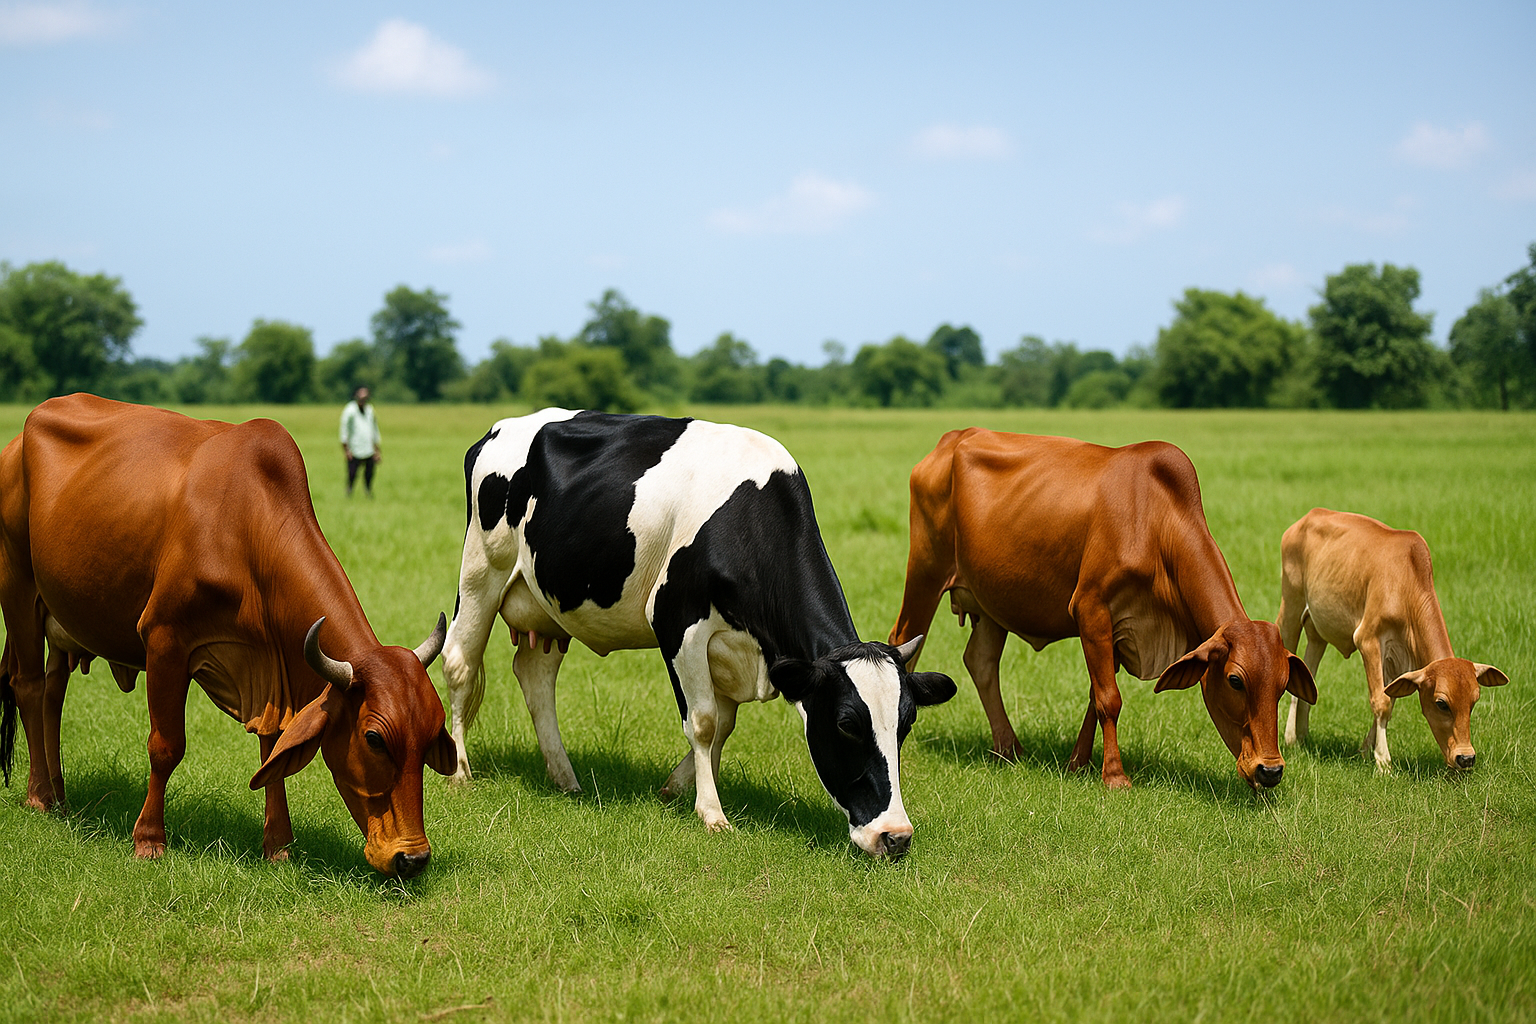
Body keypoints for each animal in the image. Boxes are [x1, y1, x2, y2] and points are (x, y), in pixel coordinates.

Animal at [0, 395, 456, 877]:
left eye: (432, 733)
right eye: (373, 739)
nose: (413, 858)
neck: (246, 527)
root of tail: (18, 437)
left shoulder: (272, 674)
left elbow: (272, 753)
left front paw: (278, 846)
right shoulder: (164, 640)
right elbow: (166, 746)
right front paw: (149, 840)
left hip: (60, 619)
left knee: (53, 694)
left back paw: (59, 794)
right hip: (17, 586)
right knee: (29, 687)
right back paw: (39, 797)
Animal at [441, 409, 957, 858]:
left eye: (906, 723)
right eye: (847, 724)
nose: (895, 836)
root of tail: (501, 427)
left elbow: (723, 725)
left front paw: (677, 787)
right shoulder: (678, 623)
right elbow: (705, 722)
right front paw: (711, 813)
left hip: (547, 602)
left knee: (535, 675)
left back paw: (565, 778)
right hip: (481, 569)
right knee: (460, 661)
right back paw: (461, 772)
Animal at [888, 429, 1315, 789]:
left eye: (1282, 686)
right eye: (1235, 680)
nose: (1271, 770)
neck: (1155, 521)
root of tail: (952, 438)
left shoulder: (1119, 629)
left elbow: (1096, 695)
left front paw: (1078, 763)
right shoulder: (1091, 609)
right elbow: (1109, 697)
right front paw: (1114, 776)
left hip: (993, 601)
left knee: (980, 661)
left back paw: (1009, 749)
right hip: (925, 572)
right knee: (903, 642)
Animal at [1277, 508, 1508, 771]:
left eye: (1474, 701)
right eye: (1441, 703)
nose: (1466, 758)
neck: (1405, 583)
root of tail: (1310, 515)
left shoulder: (1399, 657)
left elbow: (1391, 697)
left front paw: (1366, 751)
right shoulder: (1368, 640)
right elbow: (1381, 701)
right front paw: (1383, 761)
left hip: (1317, 631)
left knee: (1308, 674)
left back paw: (1299, 737)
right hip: (1290, 609)